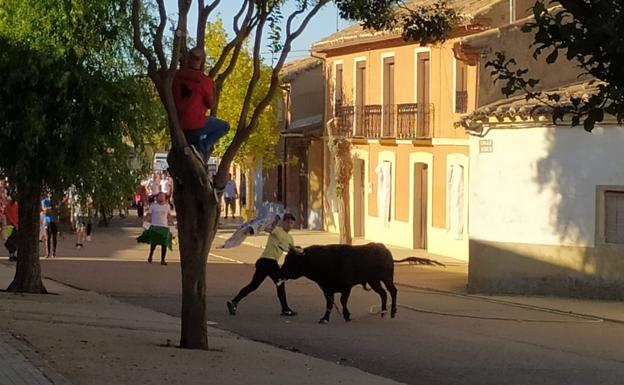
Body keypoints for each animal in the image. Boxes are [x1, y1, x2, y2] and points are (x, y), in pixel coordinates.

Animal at [276, 243, 444, 320]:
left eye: (292, 261)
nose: (280, 273)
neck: (324, 261)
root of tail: (385, 249)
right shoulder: (326, 289)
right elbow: (329, 304)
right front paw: (324, 319)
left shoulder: (346, 287)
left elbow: (343, 301)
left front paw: (347, 315)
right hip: (374, 281)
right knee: (383, 293)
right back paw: (383, 311)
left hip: (386, 277)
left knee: (393, 291)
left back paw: (392, 312)